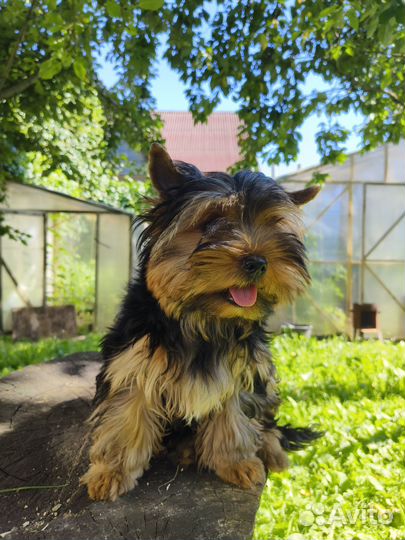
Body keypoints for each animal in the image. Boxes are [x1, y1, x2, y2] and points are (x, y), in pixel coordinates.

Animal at [82, 144, 320, 502]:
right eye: (210, 222)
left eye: (274, 226)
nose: (258, 261)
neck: (203, 320)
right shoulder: (132, 362)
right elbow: (124, 414)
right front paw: (111, 471)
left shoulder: (243, 369)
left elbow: (235, 414)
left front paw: (237, 462)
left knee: (267, 420)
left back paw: (271, 450)